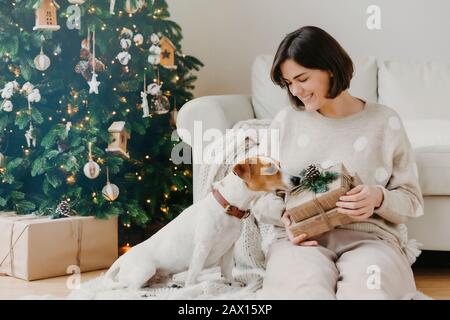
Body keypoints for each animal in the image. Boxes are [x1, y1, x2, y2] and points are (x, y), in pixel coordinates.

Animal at [102, 156, 294, 288]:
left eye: (280, 164)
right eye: (270, 169)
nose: (297, 179)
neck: (228, 207)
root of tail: (123, 257)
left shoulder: (229, 248)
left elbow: (227, 270)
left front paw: (232, 283)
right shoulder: (202, 247)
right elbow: (194, 272)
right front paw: (192, 288)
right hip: (145, 270)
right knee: (129, 288)